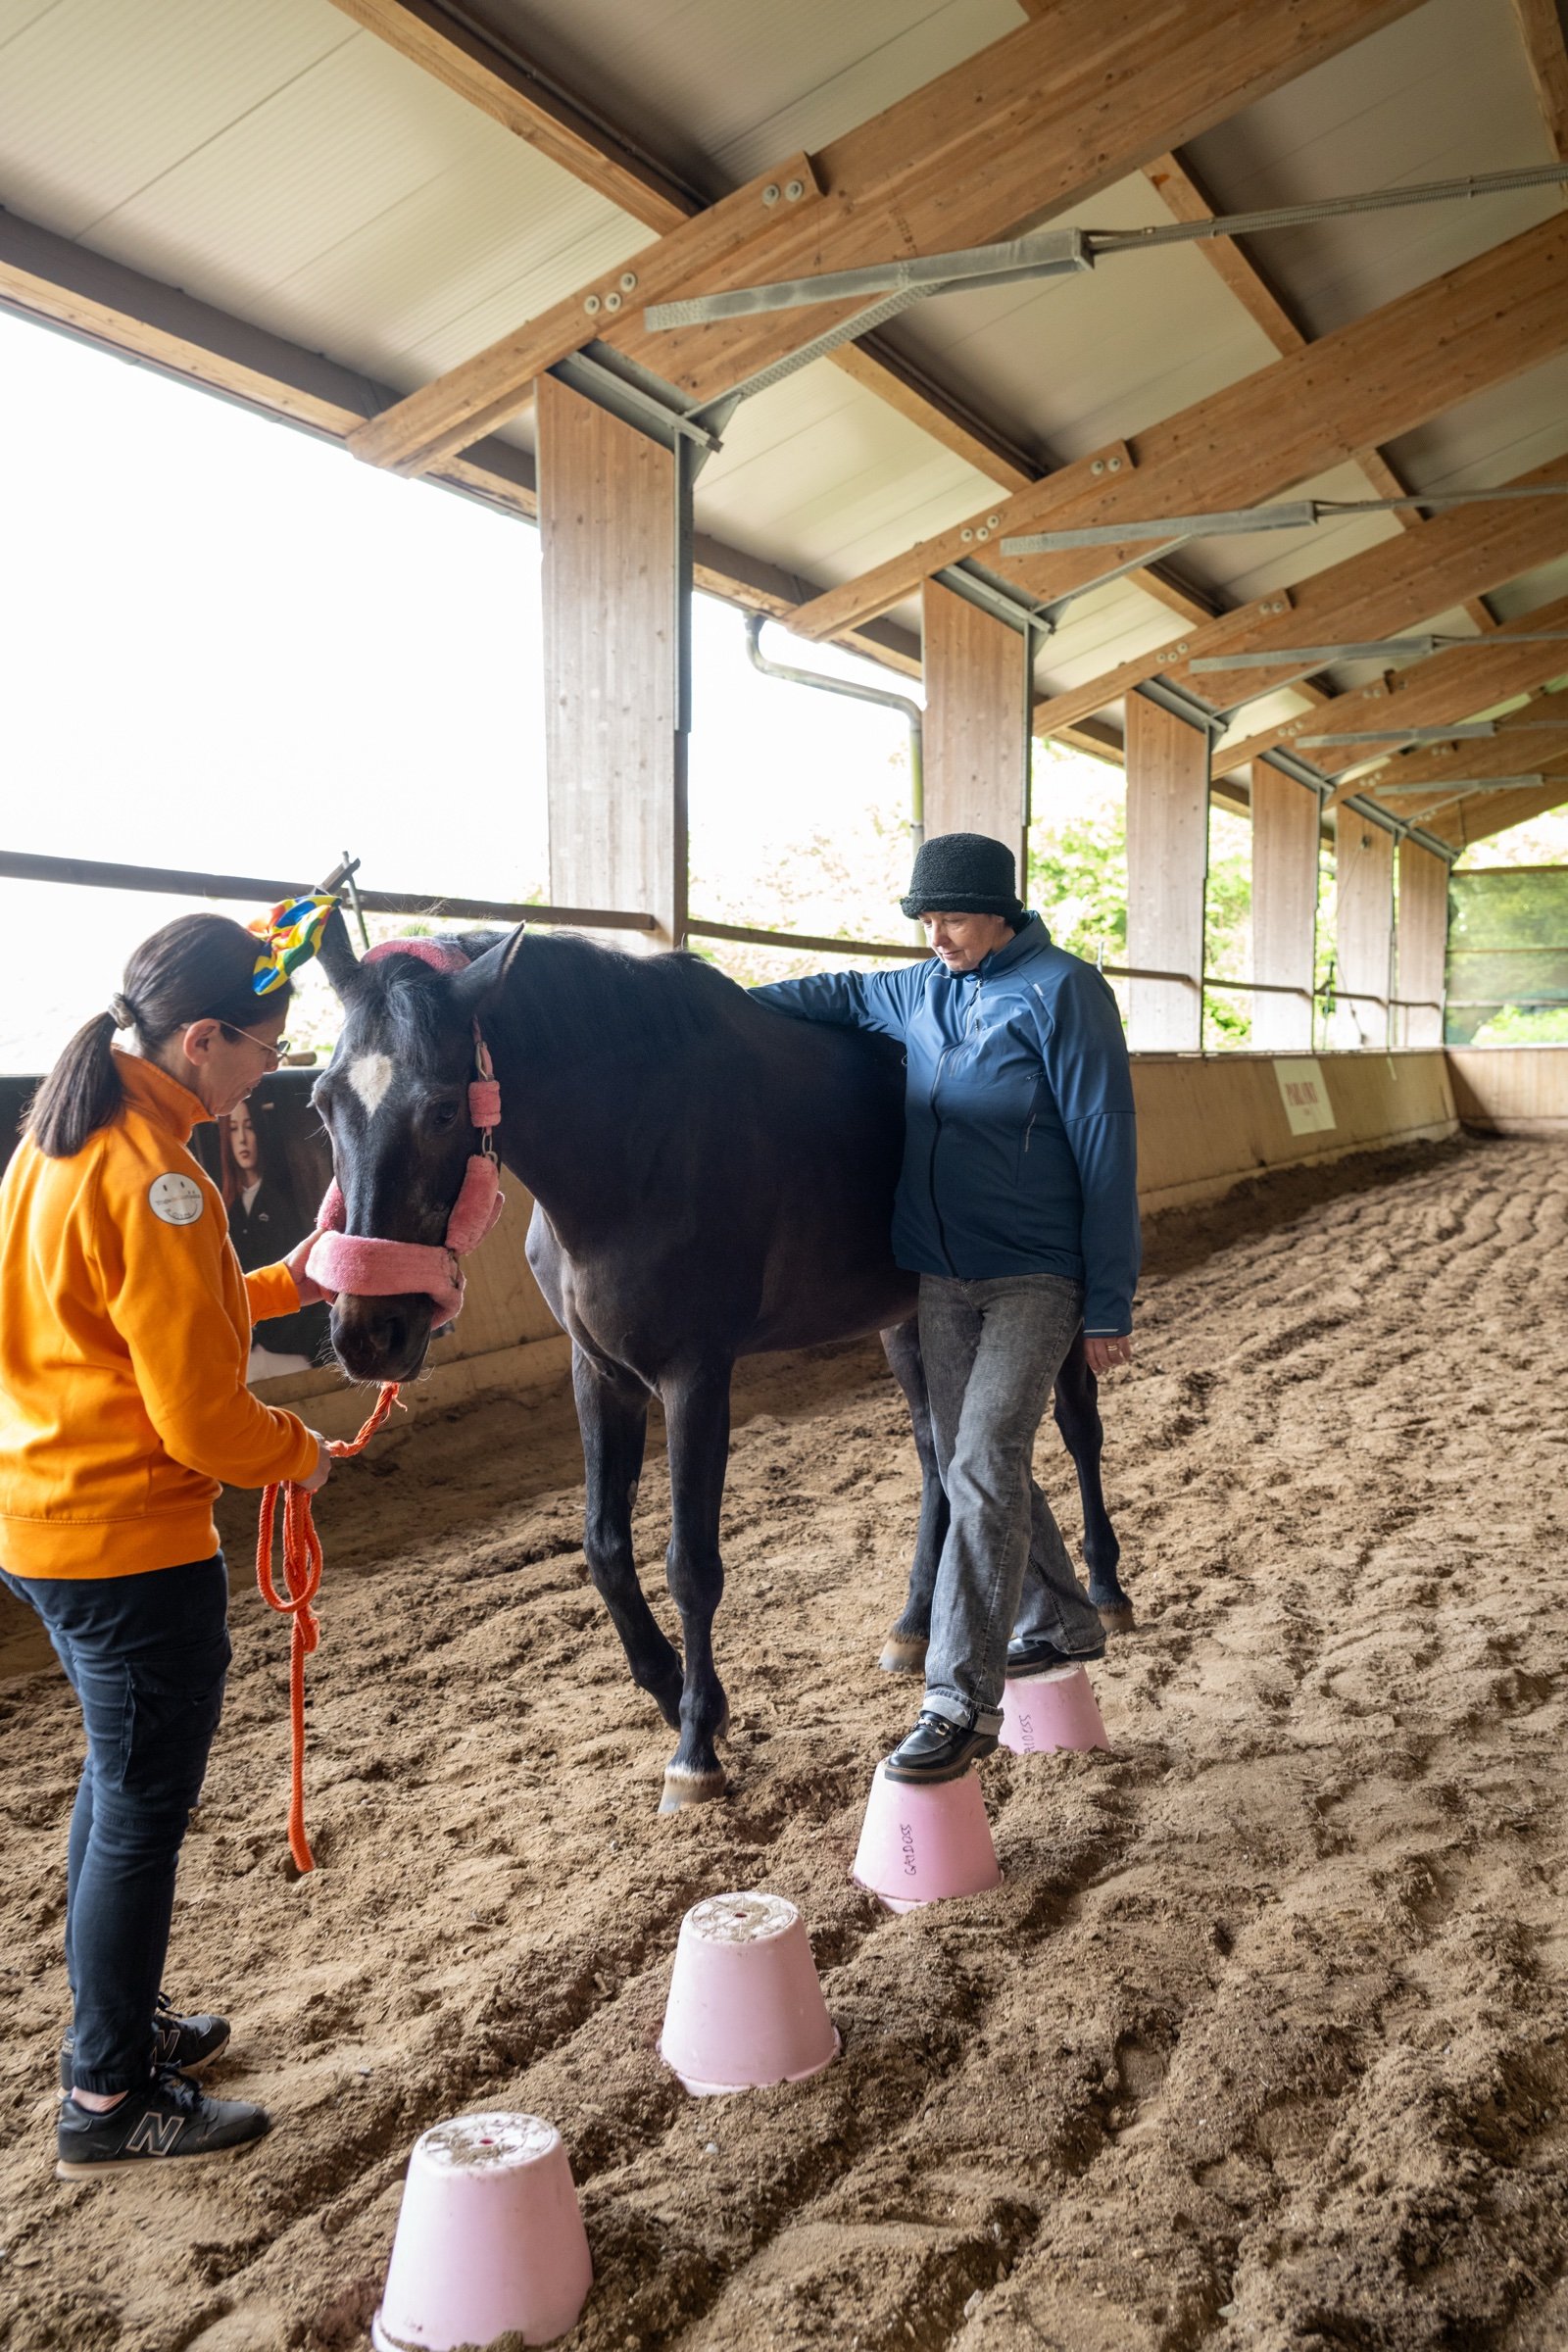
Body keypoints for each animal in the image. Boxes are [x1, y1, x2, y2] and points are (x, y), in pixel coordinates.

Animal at [310, 918, 1130, 1812]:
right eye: (321, 1102)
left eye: (441, 1107)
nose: (369, 1333)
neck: (636, 1141)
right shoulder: (599, 1374)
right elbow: (604, 1550)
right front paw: (675, 1695)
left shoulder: (695, 1377)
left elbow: (691, 1565)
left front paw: (696, 1746)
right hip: (909, 1322)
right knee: (935, 1458)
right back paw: (913, 1629)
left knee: (1079, 1430)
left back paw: (1107, 1594)